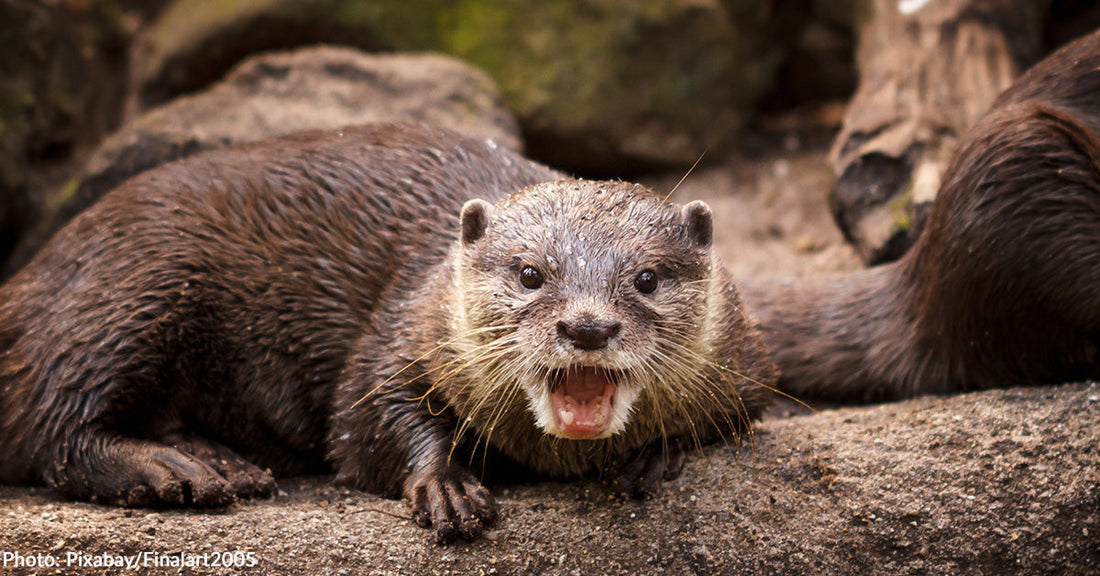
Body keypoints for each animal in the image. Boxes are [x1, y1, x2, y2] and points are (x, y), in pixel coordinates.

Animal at [0, 123, 776, 542]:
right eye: (530, 272)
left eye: (646, 278)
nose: (587, 326)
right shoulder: (401, 330)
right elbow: (365, 421)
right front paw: (446, 488)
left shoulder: (747, 366)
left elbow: (735, 414)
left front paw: (653, 456)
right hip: (130, 291)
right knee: (53, 420)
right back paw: (176, 472)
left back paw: (219, 463)